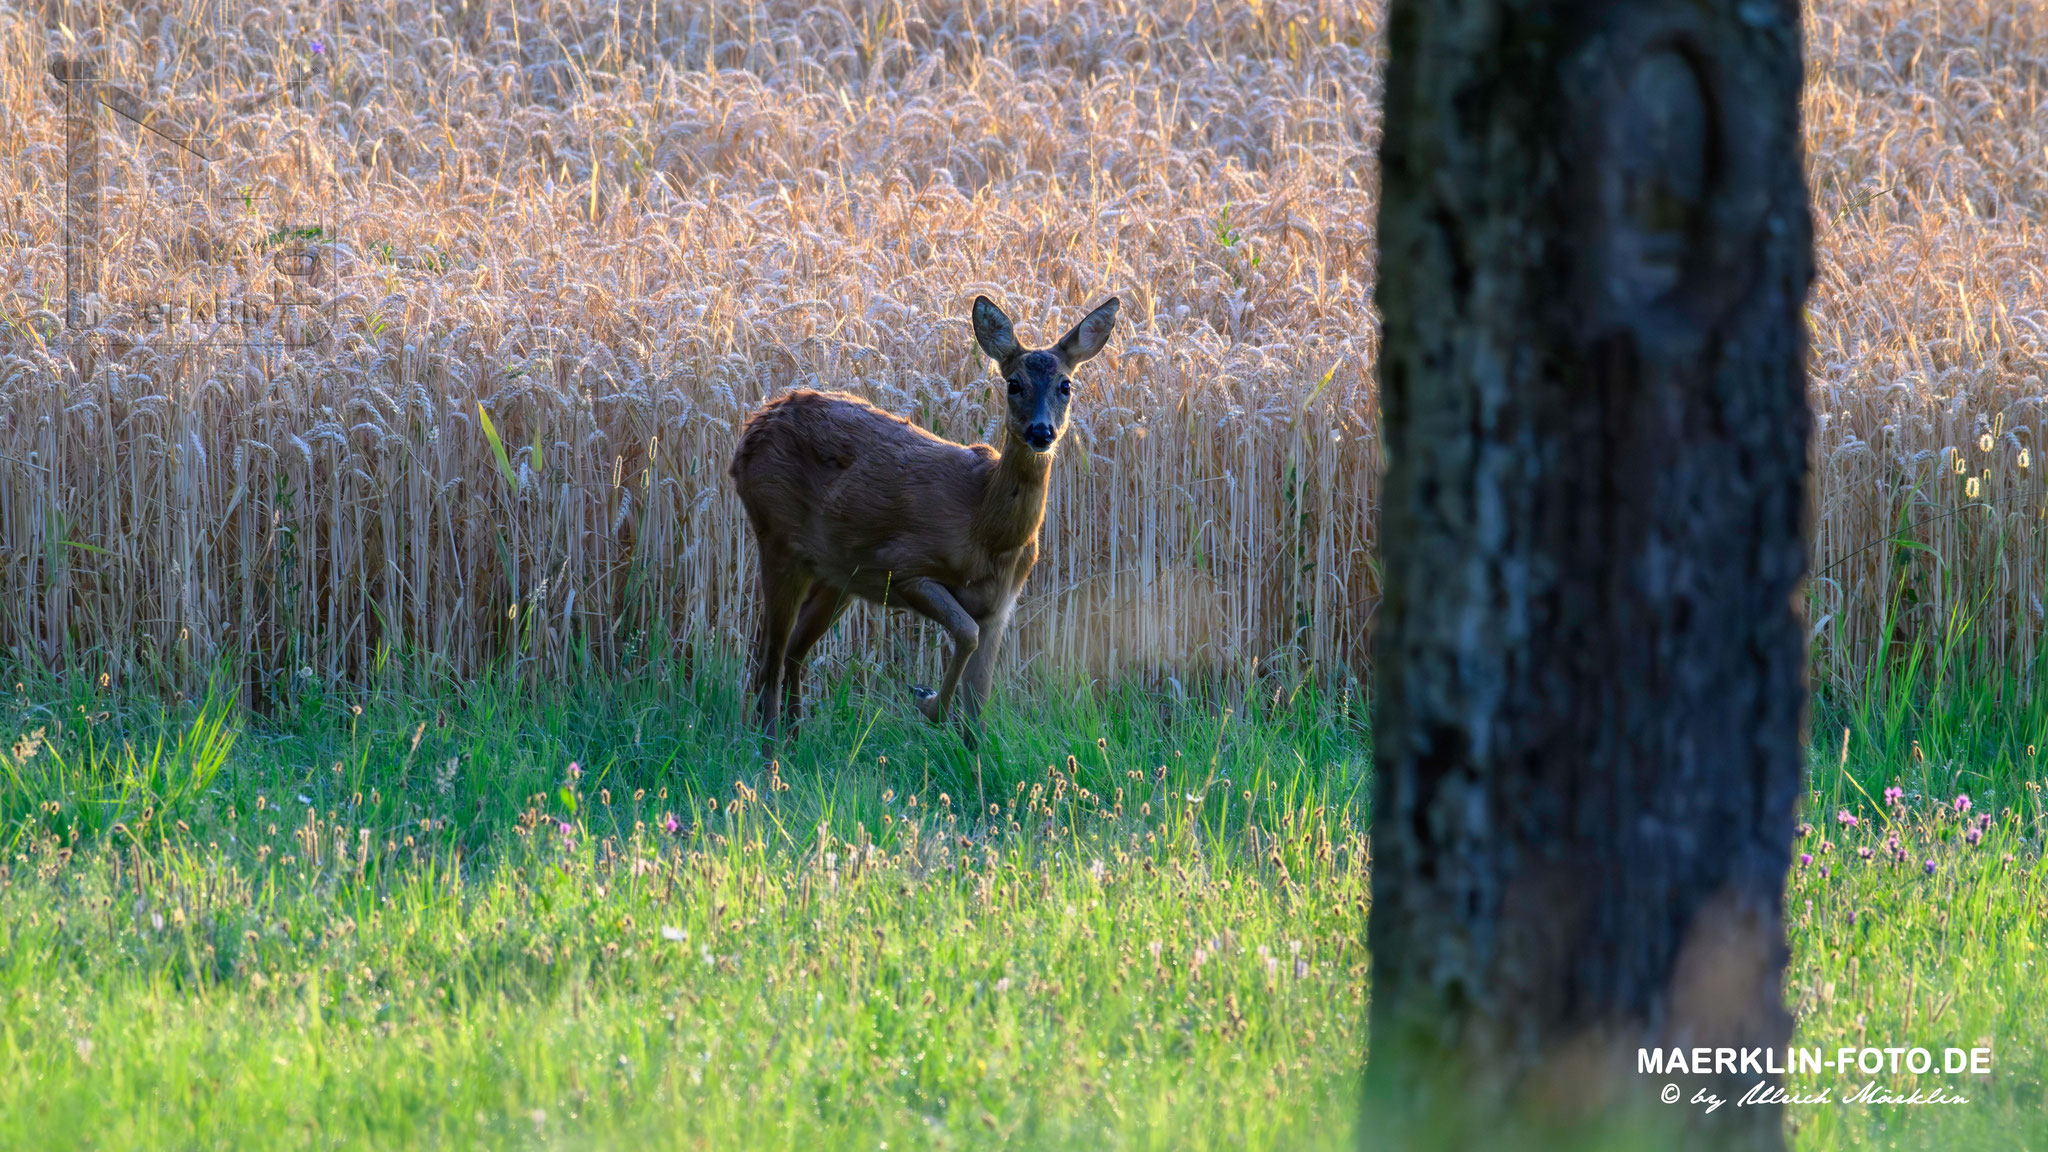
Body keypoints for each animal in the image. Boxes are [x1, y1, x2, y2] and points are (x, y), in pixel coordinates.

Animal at [728, 294, 1119, 749]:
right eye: (1014, 384)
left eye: (1066, 385)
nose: (1042, 432)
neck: (987, 528)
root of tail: (751, 428)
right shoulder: (902, 567)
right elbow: (964, 633)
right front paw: (928, 702)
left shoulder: (1001, 606)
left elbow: (978, 705)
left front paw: (973, 755)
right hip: (777, 537)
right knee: (767, 657)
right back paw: (771, 748)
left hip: (835, 575)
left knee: (792, 651)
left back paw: (793, 739)